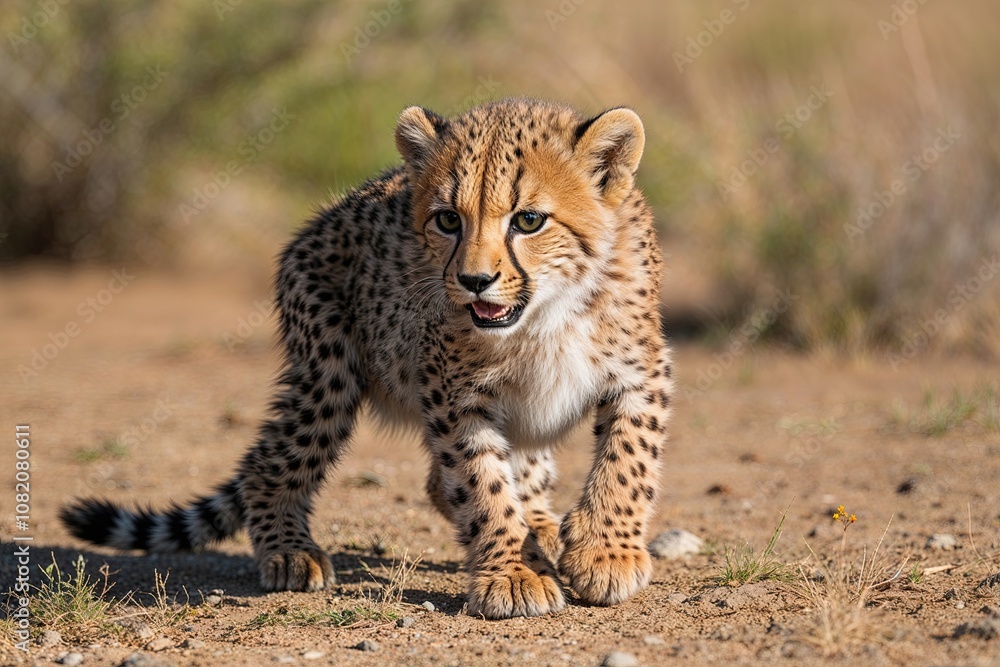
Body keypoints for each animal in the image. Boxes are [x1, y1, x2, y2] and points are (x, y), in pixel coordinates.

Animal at [60, 98, 673, 619]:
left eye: (528, 220)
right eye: (448, 219)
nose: (474, 281)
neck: (545, 315)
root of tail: (319, 220)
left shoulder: (643, 372)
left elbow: (627, 460)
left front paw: (605, 552)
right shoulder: (453, 394)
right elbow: (483, 484)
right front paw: (513, 573)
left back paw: (543, 523)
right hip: (327, 376)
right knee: (270, 466)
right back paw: (289, 552)